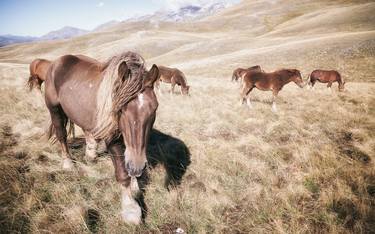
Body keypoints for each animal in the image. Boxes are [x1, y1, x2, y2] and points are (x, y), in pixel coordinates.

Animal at [44, 51, 160, 225]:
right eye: (121, 110)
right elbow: (122, 173)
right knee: (61, 135)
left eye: (153, 109)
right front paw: (130, 209)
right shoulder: (113, 138)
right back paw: (68, 163)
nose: (137, 167)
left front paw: (135, 185)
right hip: (55, 109)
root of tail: (57, 62)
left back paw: (90, 154)